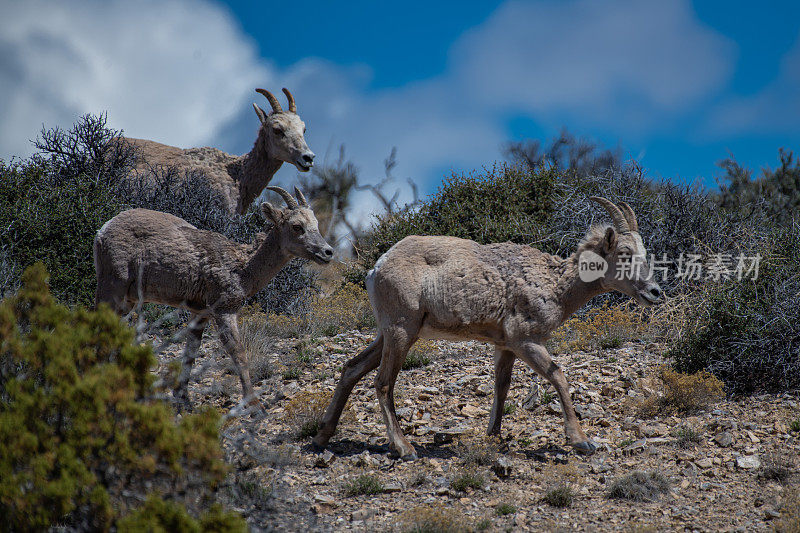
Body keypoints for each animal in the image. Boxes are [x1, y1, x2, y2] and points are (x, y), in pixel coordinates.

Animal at [95, 186, 332, 404]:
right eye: (297, 226)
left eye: (316, 224)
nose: (327, 252)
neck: (242, 268)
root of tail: (102, 232)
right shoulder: (224, 310)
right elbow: (238, 352)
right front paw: (254, 404)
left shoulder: (200, 314)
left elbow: (191, 352)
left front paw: (183, 398)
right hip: (112, 289)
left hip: (128, 301)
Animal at [312, 195, 664, 458]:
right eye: (624, 252)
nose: (654, 292)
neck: (554, 285)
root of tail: (376, 269)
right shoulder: (525, 341)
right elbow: (558, 376)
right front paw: (581, 441)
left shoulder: (504, 346)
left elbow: (502, 386)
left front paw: (493, 436)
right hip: (401, 332)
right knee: (383, 383)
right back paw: (404, 448)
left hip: (388, 334)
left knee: (351, 368)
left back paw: (321, 438)